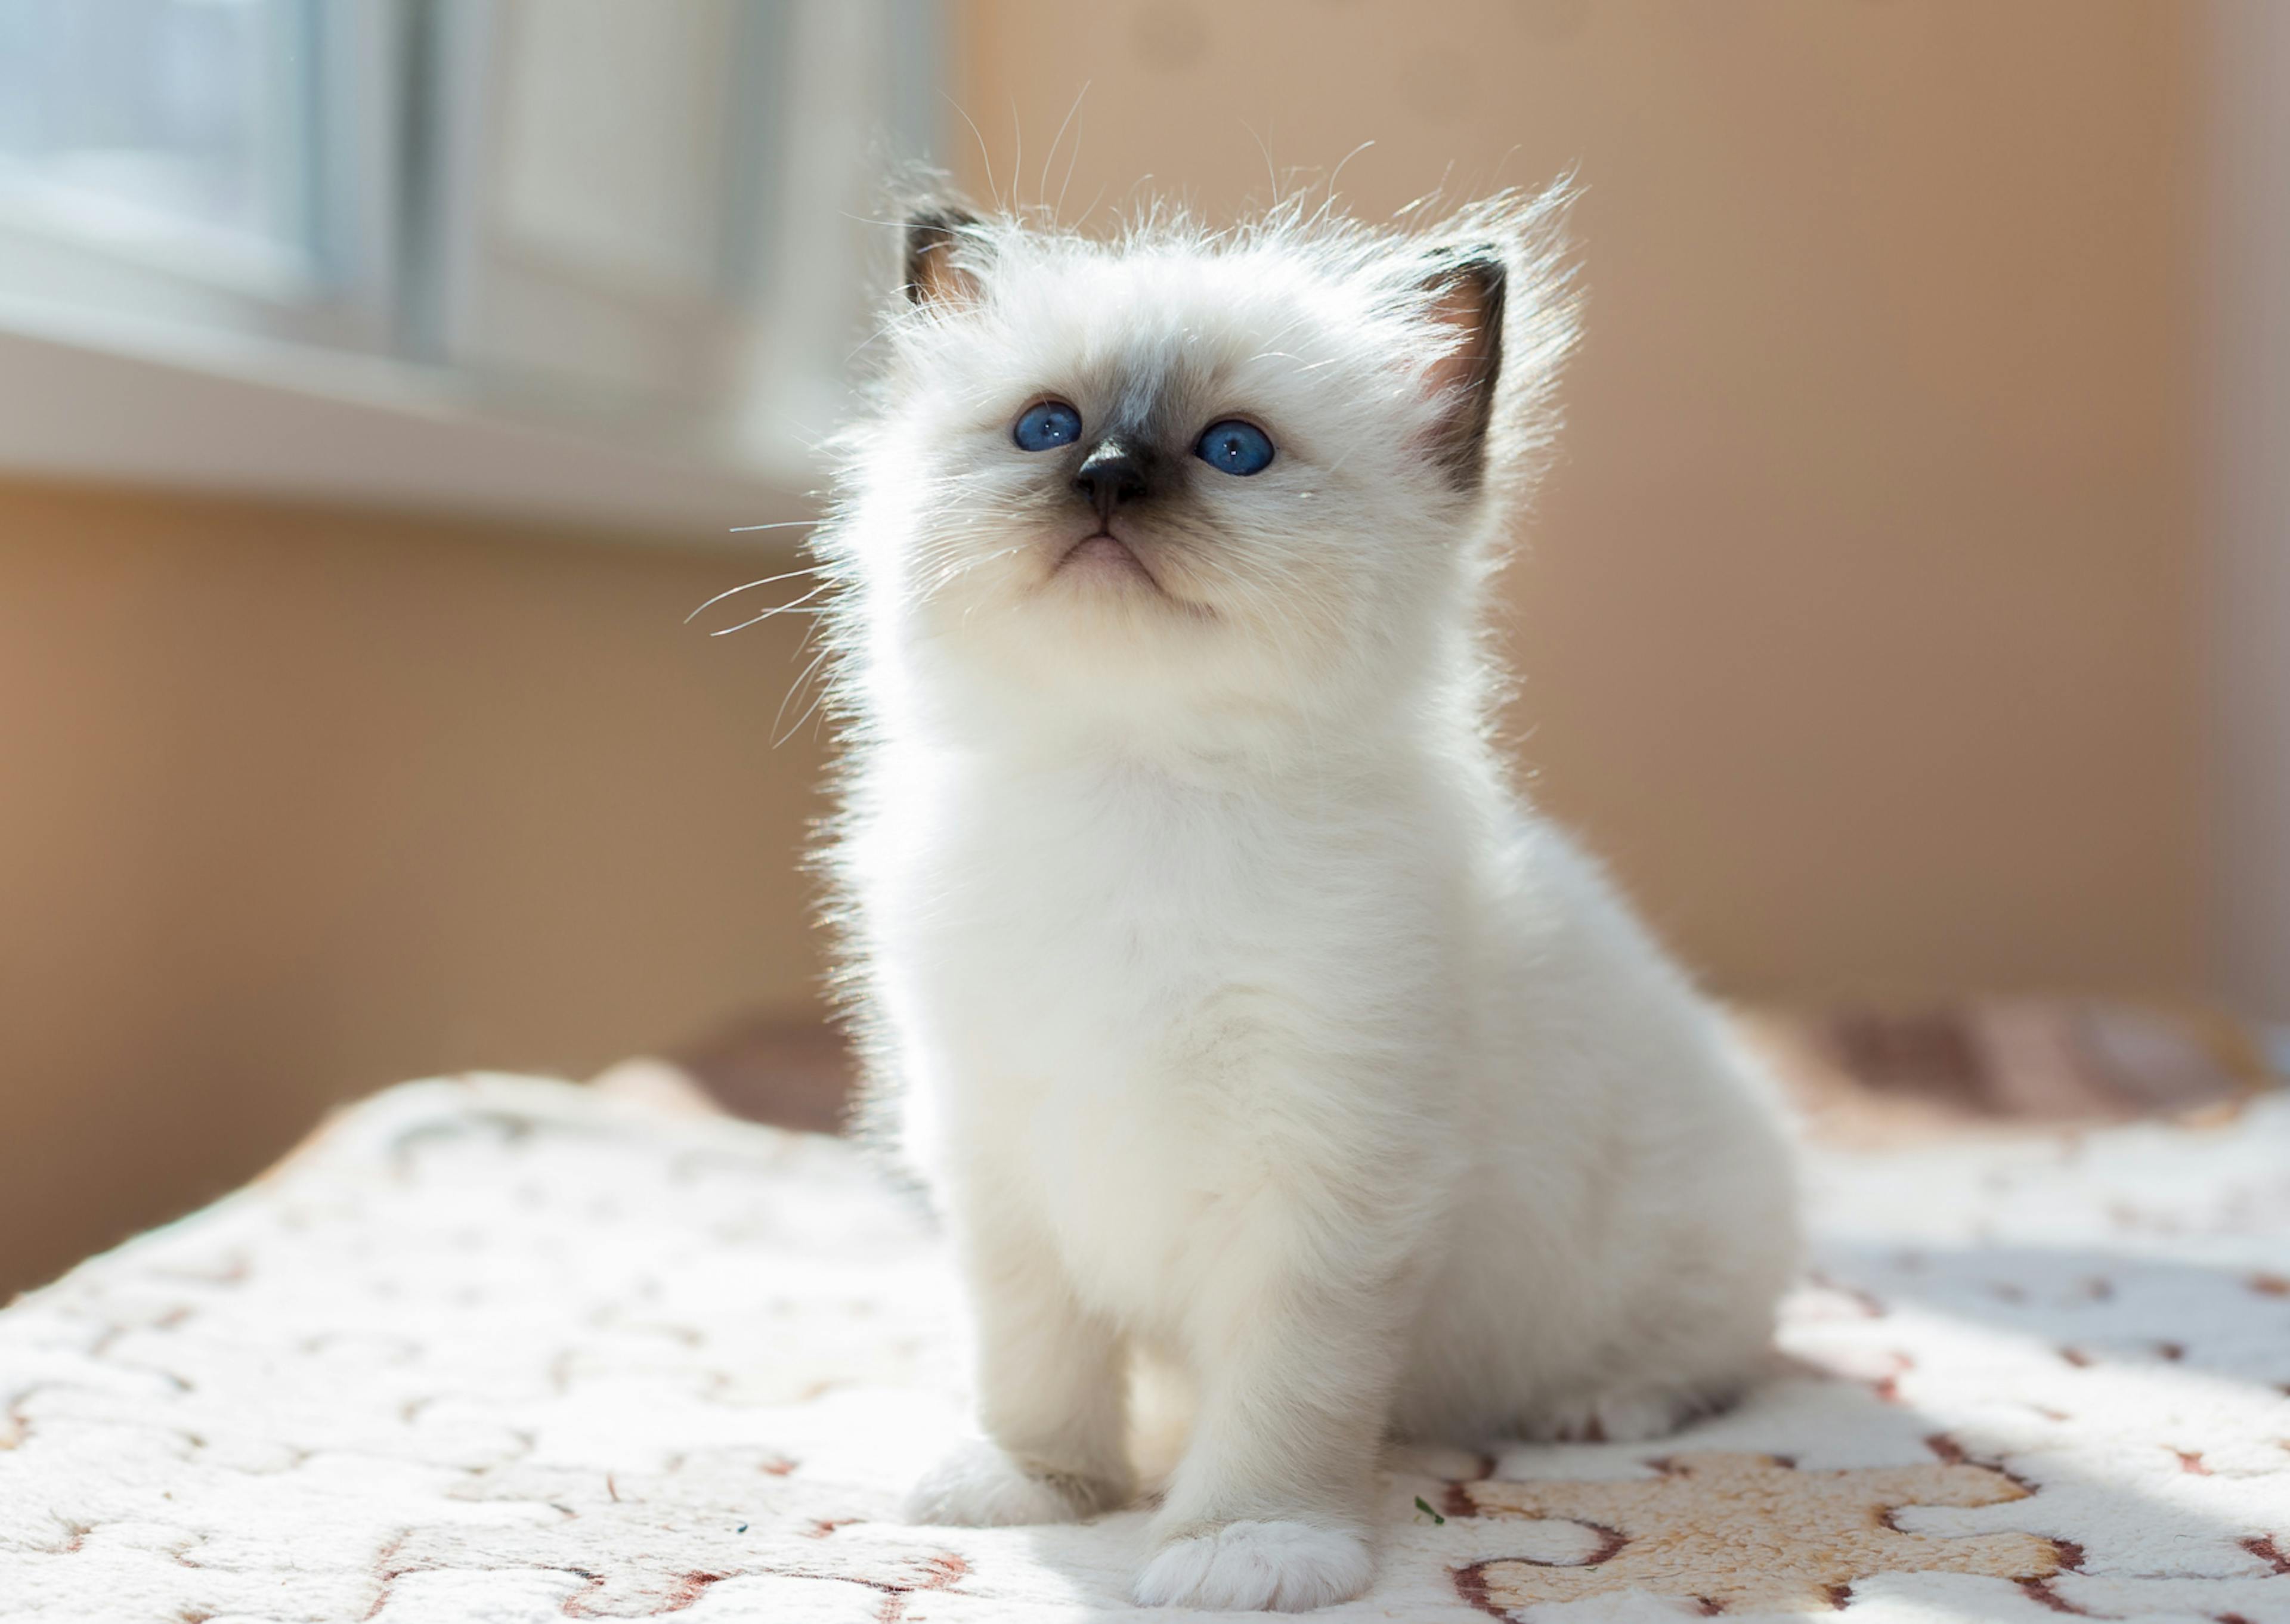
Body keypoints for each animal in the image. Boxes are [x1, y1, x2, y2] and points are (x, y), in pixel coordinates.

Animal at [815, 187, 1795, 1612]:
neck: (1142, 795)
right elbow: (1036, 1357)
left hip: (1684, 1231)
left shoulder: (1331, 1173)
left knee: (1721, 1356)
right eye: (1047, 426)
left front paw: (1245, 1548)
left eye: (1236, 449)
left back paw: (1603, 1410)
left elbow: (1285, 1398)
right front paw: (1037, 1490)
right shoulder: (998, 1150)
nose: (1108, 476)